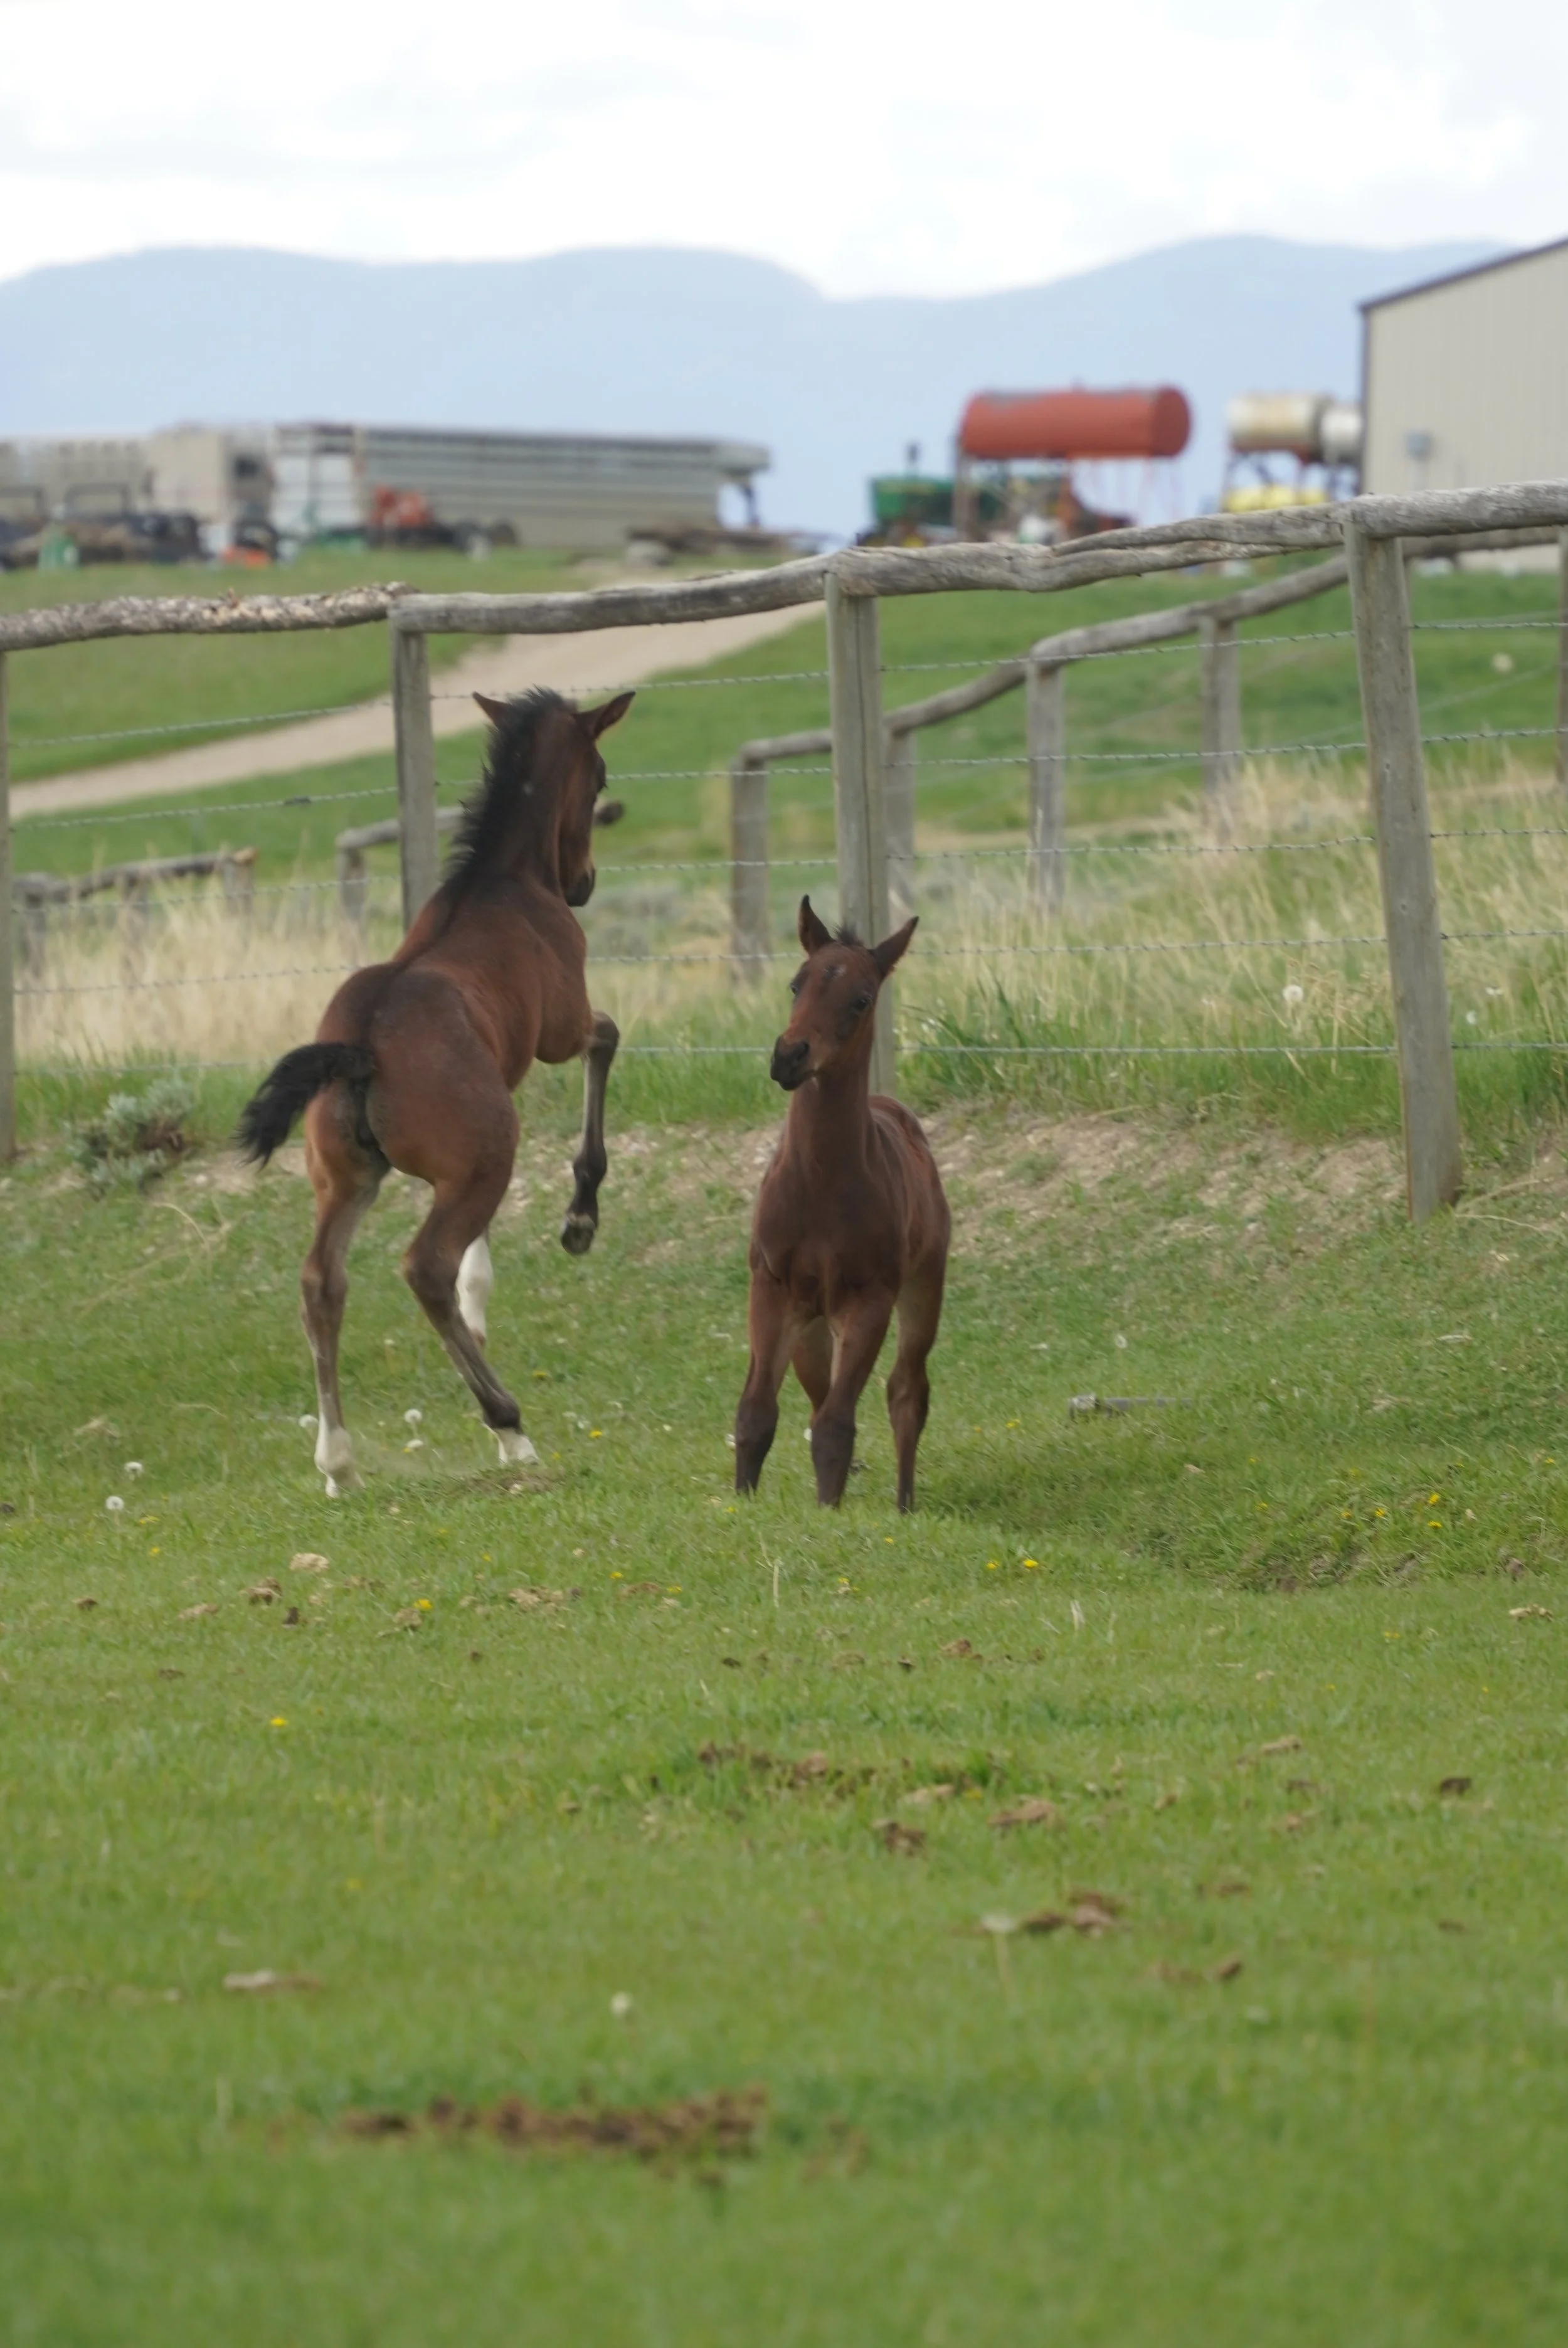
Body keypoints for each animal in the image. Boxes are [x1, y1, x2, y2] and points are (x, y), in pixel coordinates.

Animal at [237, 685, 633, 1496]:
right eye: (600, 776)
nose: (581, 884)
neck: (505, 881)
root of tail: (359, 1047)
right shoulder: (559, 1028)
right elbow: (606, 1035)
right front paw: (580, 1218)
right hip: (484, 1157)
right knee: (425, 1266)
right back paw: (510, 1428)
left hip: (348, 1178)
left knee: (322, 1281)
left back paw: (338, 1460)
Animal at [733, 897, 950, 1512]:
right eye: (795, 983)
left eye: (861, 998)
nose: (789, 1056)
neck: (820, 1187)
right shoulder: (771, 1286)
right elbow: (756, 1414)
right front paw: (742, 1503)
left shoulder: (869, 1297)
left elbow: (838, 1424)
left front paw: (829, 1510)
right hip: (810, 1324)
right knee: (816, 1393)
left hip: (924, 1285)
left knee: (907, 1390)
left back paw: (904, 1505)